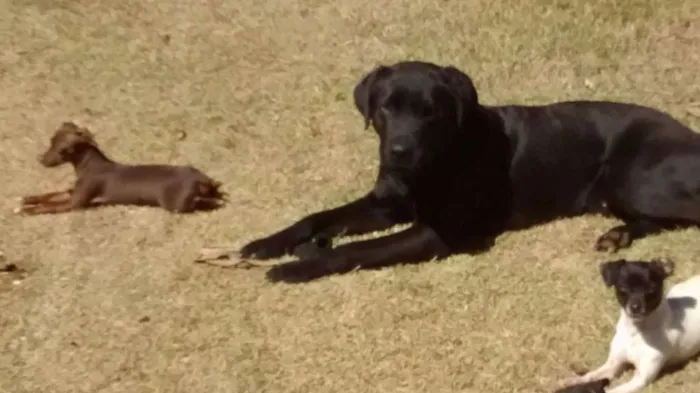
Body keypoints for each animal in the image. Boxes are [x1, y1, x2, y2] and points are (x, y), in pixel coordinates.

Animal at [15, 121, 227, 214]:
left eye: (62, 150)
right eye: (51, 140)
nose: (40, 159)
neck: (91, 166)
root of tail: (201, 180)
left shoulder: (75, 203)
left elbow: (48, 207)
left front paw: (28, 210)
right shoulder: (72, 192)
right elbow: (50, 195)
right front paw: (28, 199)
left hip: (175, 205)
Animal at [241, 59, 700, 284]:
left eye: (430, 112)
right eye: (386, 107)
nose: (398, 152)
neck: (440, 159)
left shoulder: (440, 233)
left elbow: (359, 249)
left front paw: (298, 267)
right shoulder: (385, 204)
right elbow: (316, 217)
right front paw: (266, 244)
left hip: (636, 179)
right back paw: (617, 235)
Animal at [556, 258, 700, 392]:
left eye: (652, 290)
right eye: (623, 289)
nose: (635, 307)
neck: (636, 331)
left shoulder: (640, 379)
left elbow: (613, 391)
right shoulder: (612, 366)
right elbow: (590, 375)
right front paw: (573, 381)